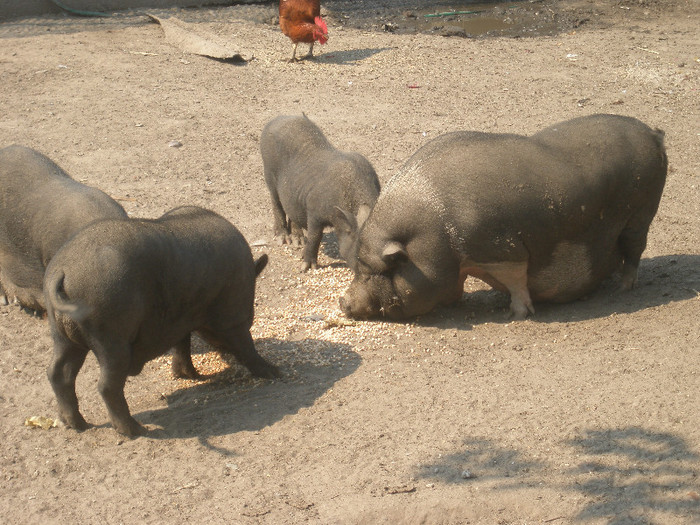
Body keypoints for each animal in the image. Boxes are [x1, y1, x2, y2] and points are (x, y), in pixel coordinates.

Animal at [42, 207, 278, 436]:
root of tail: (63, 270)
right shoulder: (232, 316)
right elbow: (246, 346)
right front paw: (275, 372)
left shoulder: (181, 319)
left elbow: (182, 345)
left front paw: (191, 375)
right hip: (110, 336)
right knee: (106, 386)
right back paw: (134, 430)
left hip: (63, 335)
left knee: (58, 373)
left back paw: (77, 425)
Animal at [260, 113, 380, 270]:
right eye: (361, 253)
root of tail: (273, 121)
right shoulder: (314, 211)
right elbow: (315, 236)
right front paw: (306, 267)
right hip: (269, 174)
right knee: (276, 203)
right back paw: (283, 239)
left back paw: (298, 243)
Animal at [338, 114, 668, 320]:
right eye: (357, 267)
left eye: (377, 271)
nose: (343, 301)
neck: (437, 232)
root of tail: (654, 134)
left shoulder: (501, 250)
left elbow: (517, 282)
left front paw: (514, 315)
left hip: (642, 213)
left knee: (635, 250)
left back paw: (623, 288)